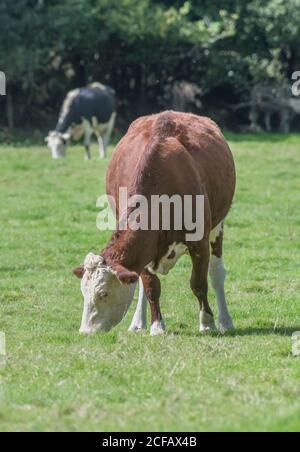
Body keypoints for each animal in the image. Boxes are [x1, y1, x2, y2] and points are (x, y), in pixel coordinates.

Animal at [73, 110, 237, 336]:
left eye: (103, 293)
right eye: (83, 293)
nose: (85, 332)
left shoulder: (200, 244)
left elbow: (199, 284)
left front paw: (207, 322)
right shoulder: (146, 247)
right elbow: (150, 286)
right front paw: (157, 325)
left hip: (217, 228)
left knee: (216, 274)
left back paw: (225, 320)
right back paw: (138, 322)